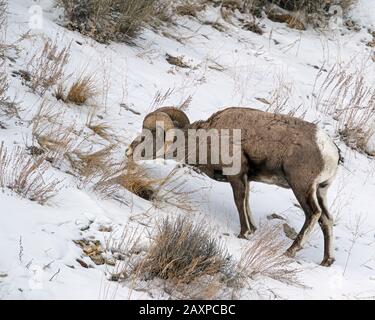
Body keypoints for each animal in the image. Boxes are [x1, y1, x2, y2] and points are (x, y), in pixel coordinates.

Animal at [126, 106, 340, 266]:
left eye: (150, 135)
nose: (128, 151)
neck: (207, 138)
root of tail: (332, 153)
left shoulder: (236, 176)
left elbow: (239, 201)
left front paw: (244, 233)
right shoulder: (246, 179)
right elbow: (246, 202)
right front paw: (252, 229)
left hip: (301, 187)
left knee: (313, 214)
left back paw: (290, 251)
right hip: (320, 190)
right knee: (327, 219)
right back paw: (326, 261)